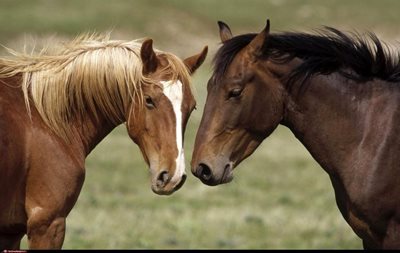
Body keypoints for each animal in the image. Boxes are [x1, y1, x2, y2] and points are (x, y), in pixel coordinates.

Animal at [0, 34, 206, 249]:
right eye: (149, 100)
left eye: (192, 107)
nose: (173, 176)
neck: (44, 118)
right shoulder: (47, 223)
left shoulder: (11, 233)